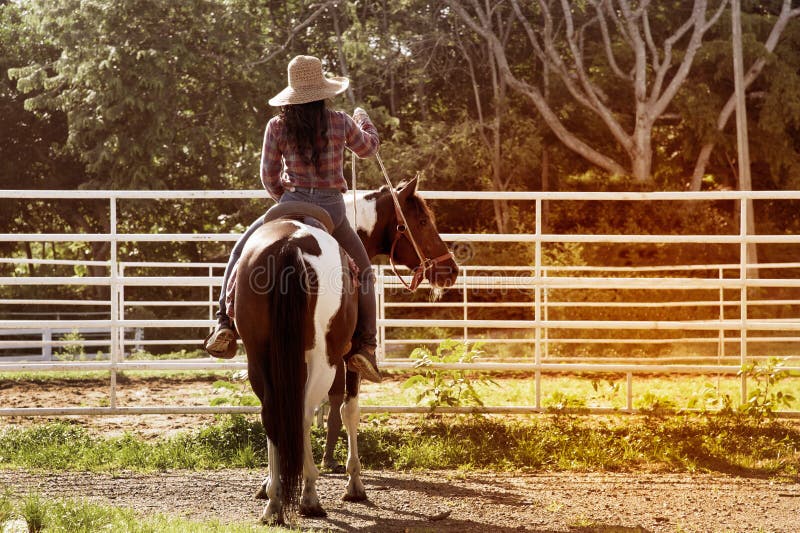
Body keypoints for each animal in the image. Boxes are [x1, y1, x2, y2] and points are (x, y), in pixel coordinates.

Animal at [233, 176, 456, 524]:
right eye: (421, 221)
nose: (451, 270)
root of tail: (290, 246)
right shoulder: (349, 360)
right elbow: (348, 411)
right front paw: (354, 484)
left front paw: (268, 484)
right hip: (322, 359)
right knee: (304, 412)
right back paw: (309, 495)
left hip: (259, 356)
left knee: (273, 412)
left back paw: (274, 502)